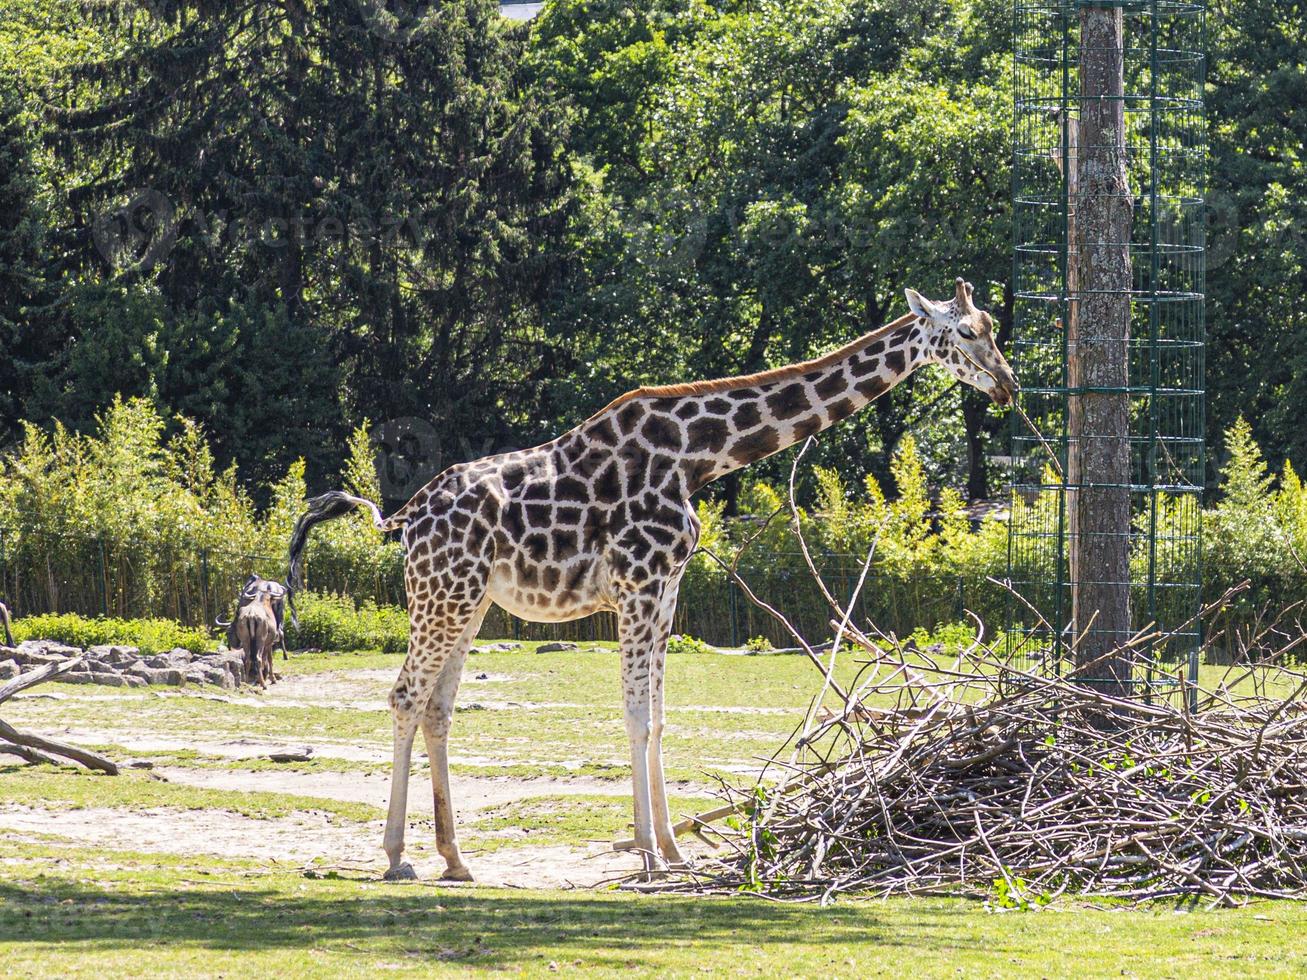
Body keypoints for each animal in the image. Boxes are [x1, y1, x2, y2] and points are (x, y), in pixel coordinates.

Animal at [291, 278, 1014, 883]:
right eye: (967, 332)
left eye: (994, 326)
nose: (1007, 386)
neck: (698, 457)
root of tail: (404, 518)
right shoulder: (637, 585)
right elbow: (636, 717)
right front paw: (646, 853)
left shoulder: (667, 588)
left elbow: (661, 717)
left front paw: (670, 849)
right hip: (441, 594)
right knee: (405, 696)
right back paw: (396, 856)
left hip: (467, 600)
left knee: (437, 708)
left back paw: (454, 858)